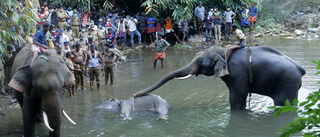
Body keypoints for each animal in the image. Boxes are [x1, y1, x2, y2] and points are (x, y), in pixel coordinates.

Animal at [134, 46, 306, 110]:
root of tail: (300, 70)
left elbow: (237, 96)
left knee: (284, 104)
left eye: (200, 61)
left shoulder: (238, 73)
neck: (224, 51)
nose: (134, 95)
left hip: (287, 82)